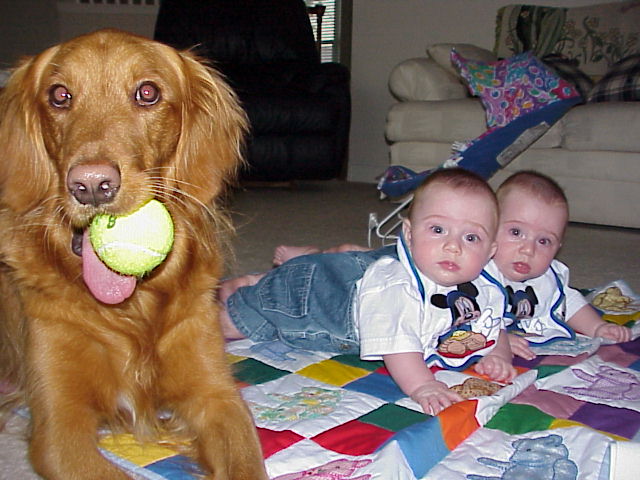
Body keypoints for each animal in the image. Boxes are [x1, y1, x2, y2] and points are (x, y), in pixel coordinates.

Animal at [0, 29, 267, 480]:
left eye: (147, 93)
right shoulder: (59, 426)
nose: (92, 185)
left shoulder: (217, 396)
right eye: (59, 95)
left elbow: (246, 463)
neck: (133, 309)